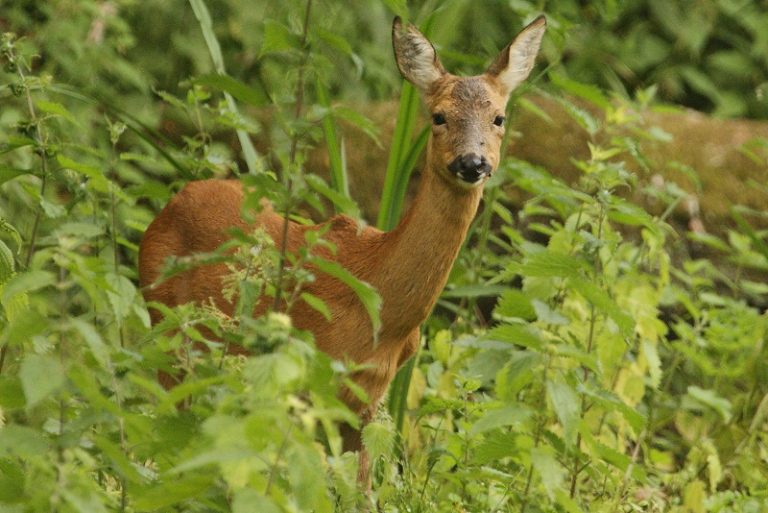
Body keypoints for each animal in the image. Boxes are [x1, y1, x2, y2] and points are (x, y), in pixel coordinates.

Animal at [138, 14, 544, 480]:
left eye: (499, 117)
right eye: (439, 116)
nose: (473, 163)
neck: (381, 311)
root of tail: (169, 205)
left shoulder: (367, 404)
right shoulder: (305, 383)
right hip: (168, 335)